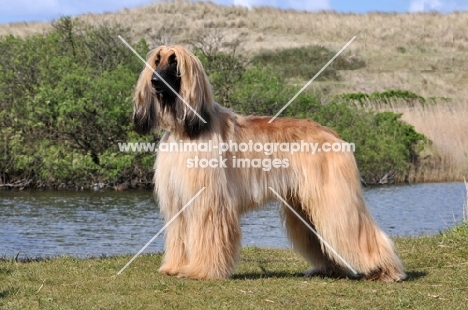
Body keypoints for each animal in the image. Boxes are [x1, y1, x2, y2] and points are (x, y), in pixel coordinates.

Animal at [132, 45, 406, 280]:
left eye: (174, 62)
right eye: (157, 60)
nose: (155, 82)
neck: (185, 129)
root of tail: (332, 133)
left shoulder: (209, 200)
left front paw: (201, 271)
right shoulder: (178, 200)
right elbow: (179, 235)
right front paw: (174, 267)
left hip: (334, 196)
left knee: (358, 230)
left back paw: (386, 270)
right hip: (304, 204)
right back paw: (329, 269)